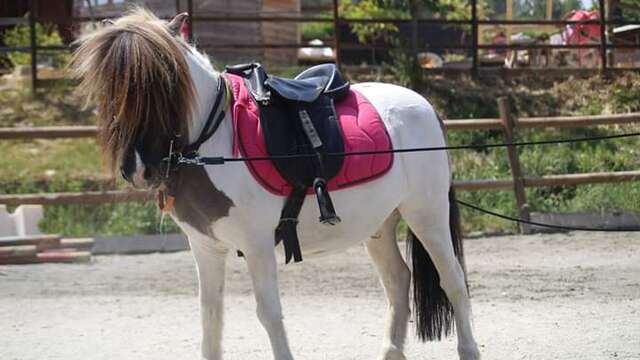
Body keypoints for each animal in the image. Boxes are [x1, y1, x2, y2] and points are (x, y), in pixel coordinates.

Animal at [71, 9, 480, 360]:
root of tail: (425, 106)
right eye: (108, 88)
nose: (140, 168)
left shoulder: (258, 245)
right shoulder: (205, 247)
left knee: (453, 281)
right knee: (397, 282)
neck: (214, 143)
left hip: (427, 215)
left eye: (169, 81)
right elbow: (210, 318)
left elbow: (268, 313)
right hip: (379, 224)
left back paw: (468, 349)